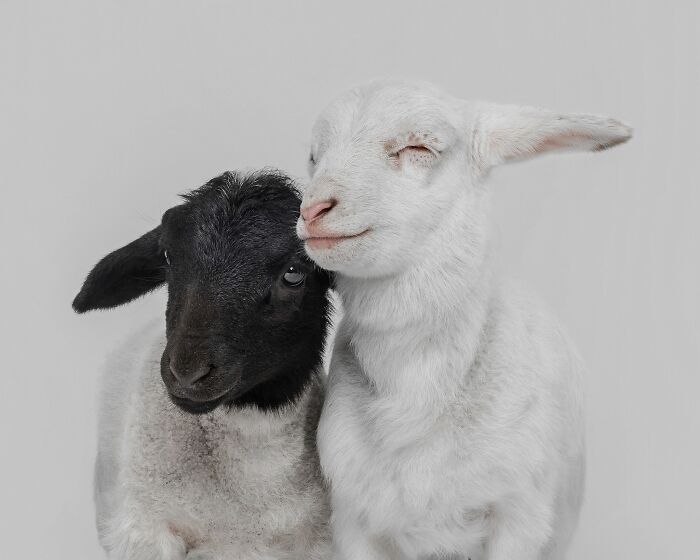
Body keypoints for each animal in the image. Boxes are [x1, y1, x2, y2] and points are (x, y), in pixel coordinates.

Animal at [296, 79, 632, 560]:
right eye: (314, 156)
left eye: (418, 146)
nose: (313, 210)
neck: (415, 395)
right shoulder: (353, 520)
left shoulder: (519, 517)